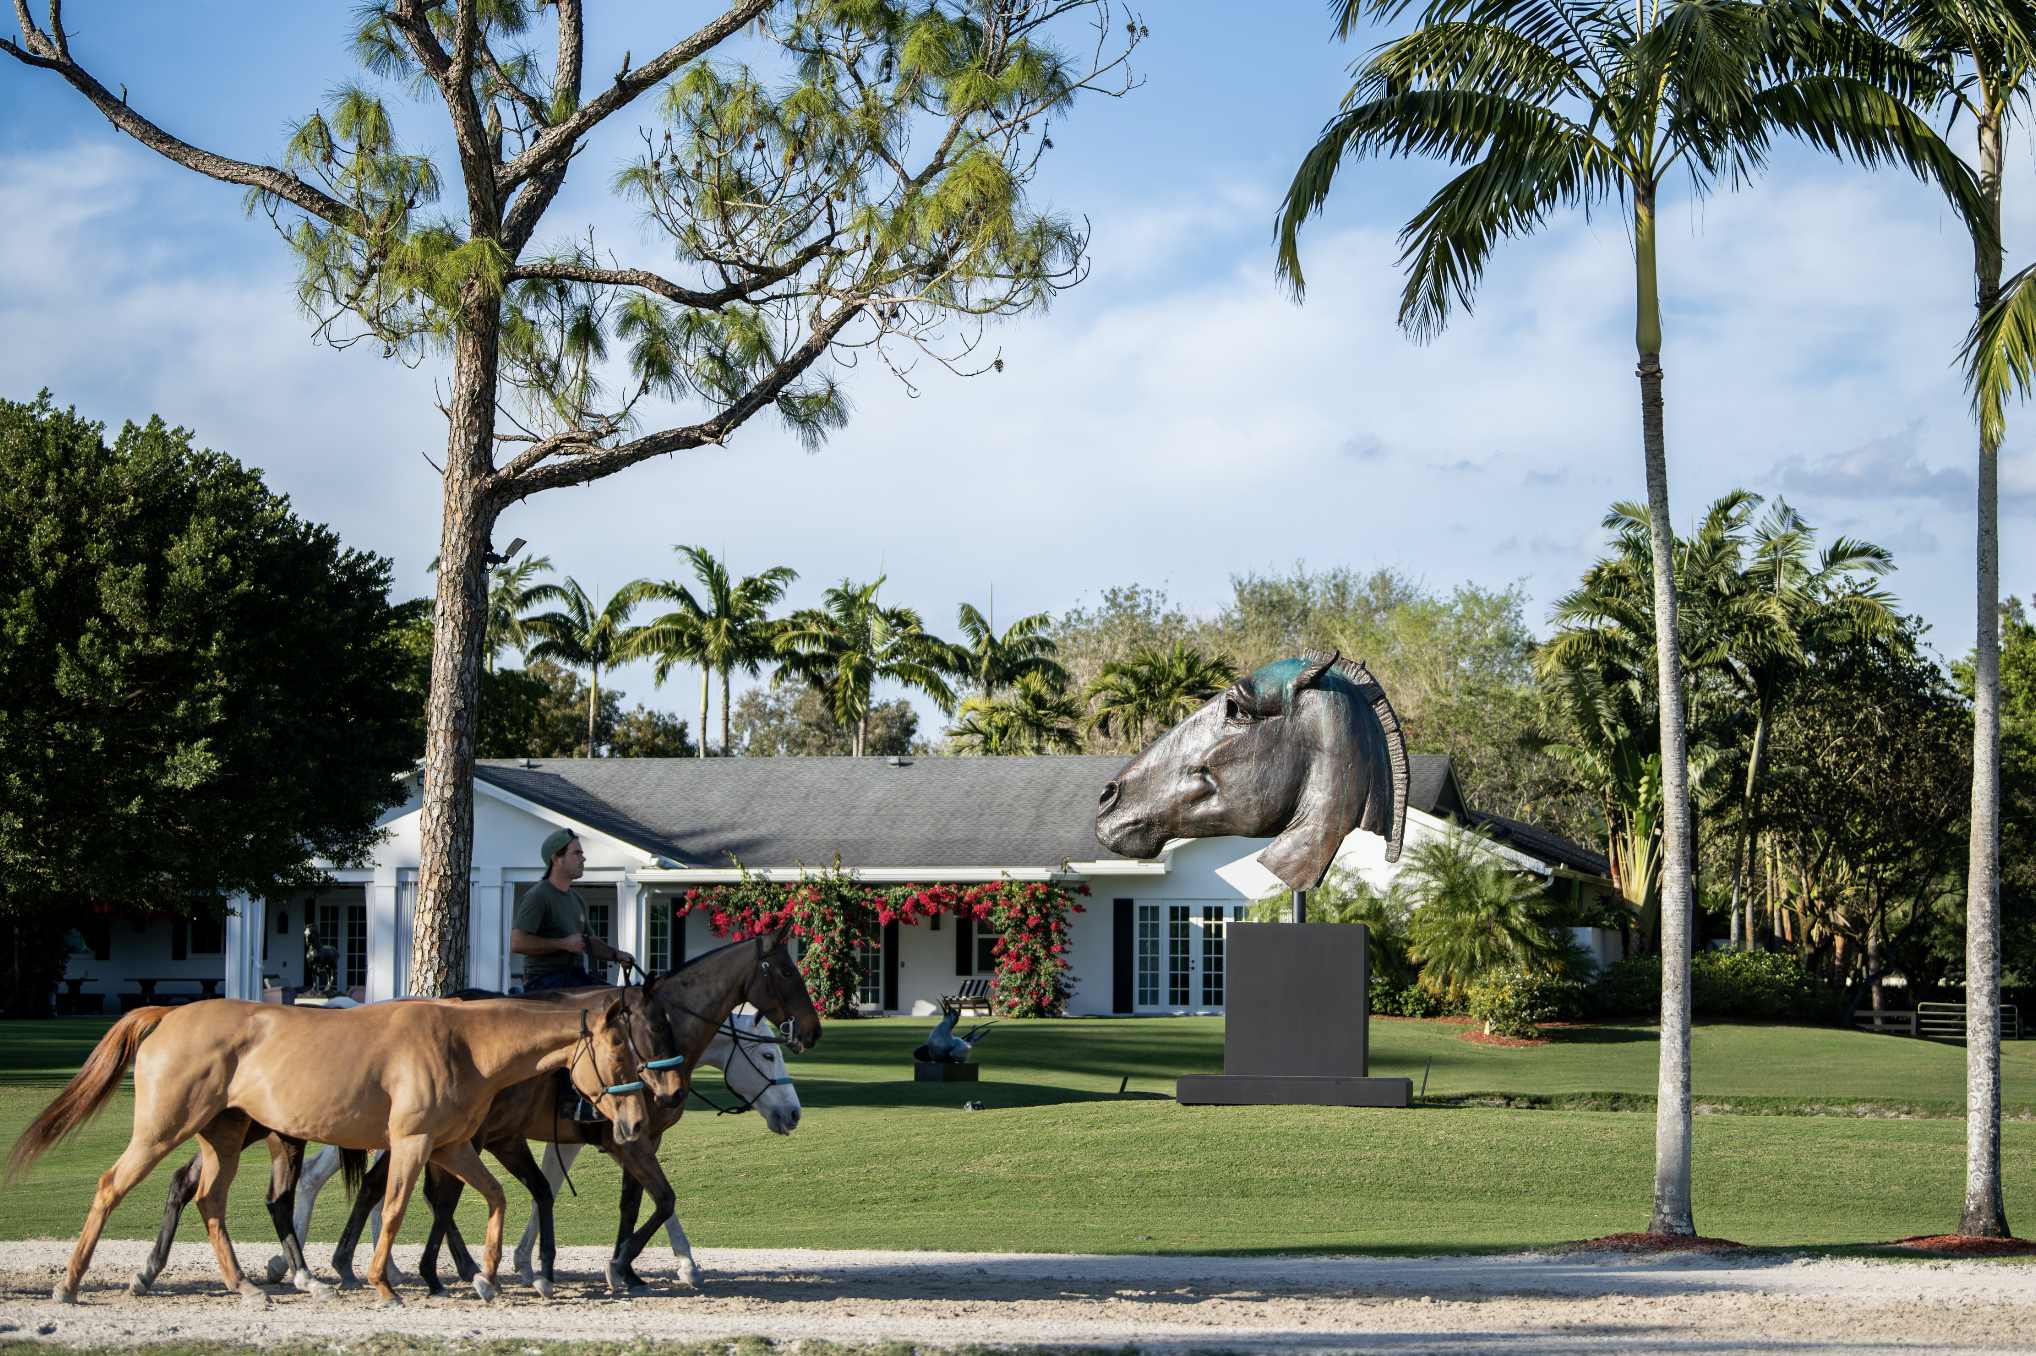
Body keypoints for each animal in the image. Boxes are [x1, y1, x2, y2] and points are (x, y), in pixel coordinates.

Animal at [5, 981, 684, 1303]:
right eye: (621, 1051)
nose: (634, 1123)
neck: (462, 1040)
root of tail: (169, 1013)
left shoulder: (452, 1148)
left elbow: (493, 1199)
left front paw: (487, 1277)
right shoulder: (412, 1144)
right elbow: (396, 1210)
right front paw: (386, 1285)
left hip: (223, 1138)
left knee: (210, 1201)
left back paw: (246, 1285)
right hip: (163, 1131)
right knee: (112, 1188)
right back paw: (72, 1286)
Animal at [280, 1001, 802, 1286]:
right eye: (768, 1054)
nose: (794, 1112)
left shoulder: (589, 1140)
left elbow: (568, 1190)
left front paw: (533, 1263)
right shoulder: (620, 1140)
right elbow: (656, 1200)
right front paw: (679, 1264)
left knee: (367, 1184)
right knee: (351, 1181)